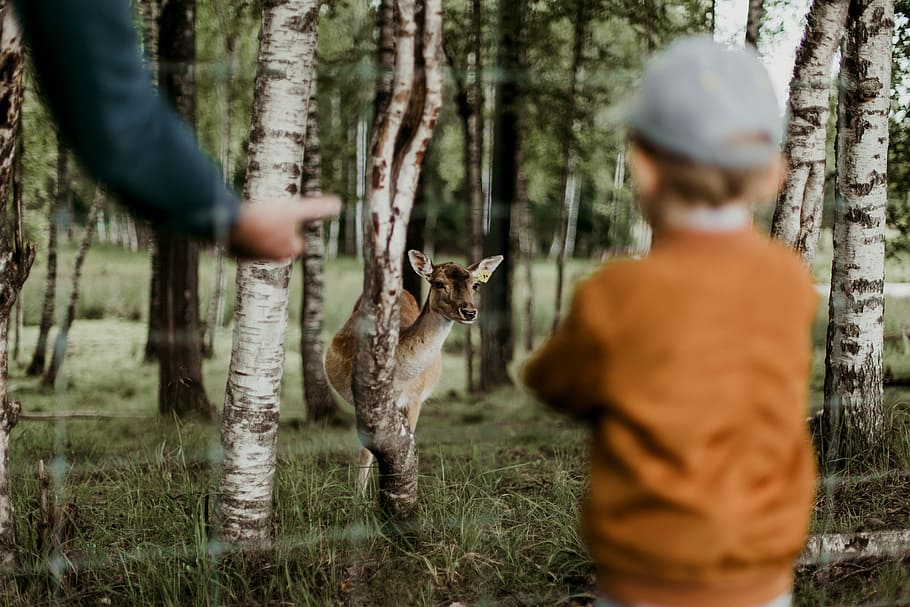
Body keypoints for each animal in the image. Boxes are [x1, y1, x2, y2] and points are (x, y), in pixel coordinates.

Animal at [325, 250, 503, 494]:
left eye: (475, 284)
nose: (469, 312)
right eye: (439, 283)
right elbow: (366, 450)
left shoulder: (416, 398)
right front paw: (359, 496)